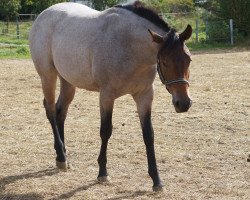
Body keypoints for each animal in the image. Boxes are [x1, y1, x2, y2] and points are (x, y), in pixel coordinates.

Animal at [29, 1, 193, 192]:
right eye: (165, 62)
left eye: (189, 59)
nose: (183, 103)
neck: (128, 45)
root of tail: (43, 15)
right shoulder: (107, 96)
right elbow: (105, 131)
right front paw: (102, 173)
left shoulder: (144, 96)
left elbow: (148, 135)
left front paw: (157, 180)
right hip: (47, 76)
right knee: (50, 110)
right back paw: (62, 158)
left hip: (68, 81)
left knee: (60, 111)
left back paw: (63, 156)